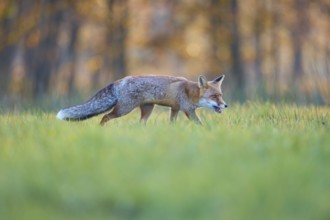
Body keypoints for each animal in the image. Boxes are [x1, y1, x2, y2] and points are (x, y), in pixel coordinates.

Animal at [56, 75, 227, 124]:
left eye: (221, 95)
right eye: (214, 96)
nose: (225, 105)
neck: (190, 92)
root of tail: (120, 81)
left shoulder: (175, 109)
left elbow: (172, 124)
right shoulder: (188, 110)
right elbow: (201, 124)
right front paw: (208, 133)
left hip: (147, 110)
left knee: (140, 125)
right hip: (124, 109)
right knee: (105, 116)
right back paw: (100, 129)